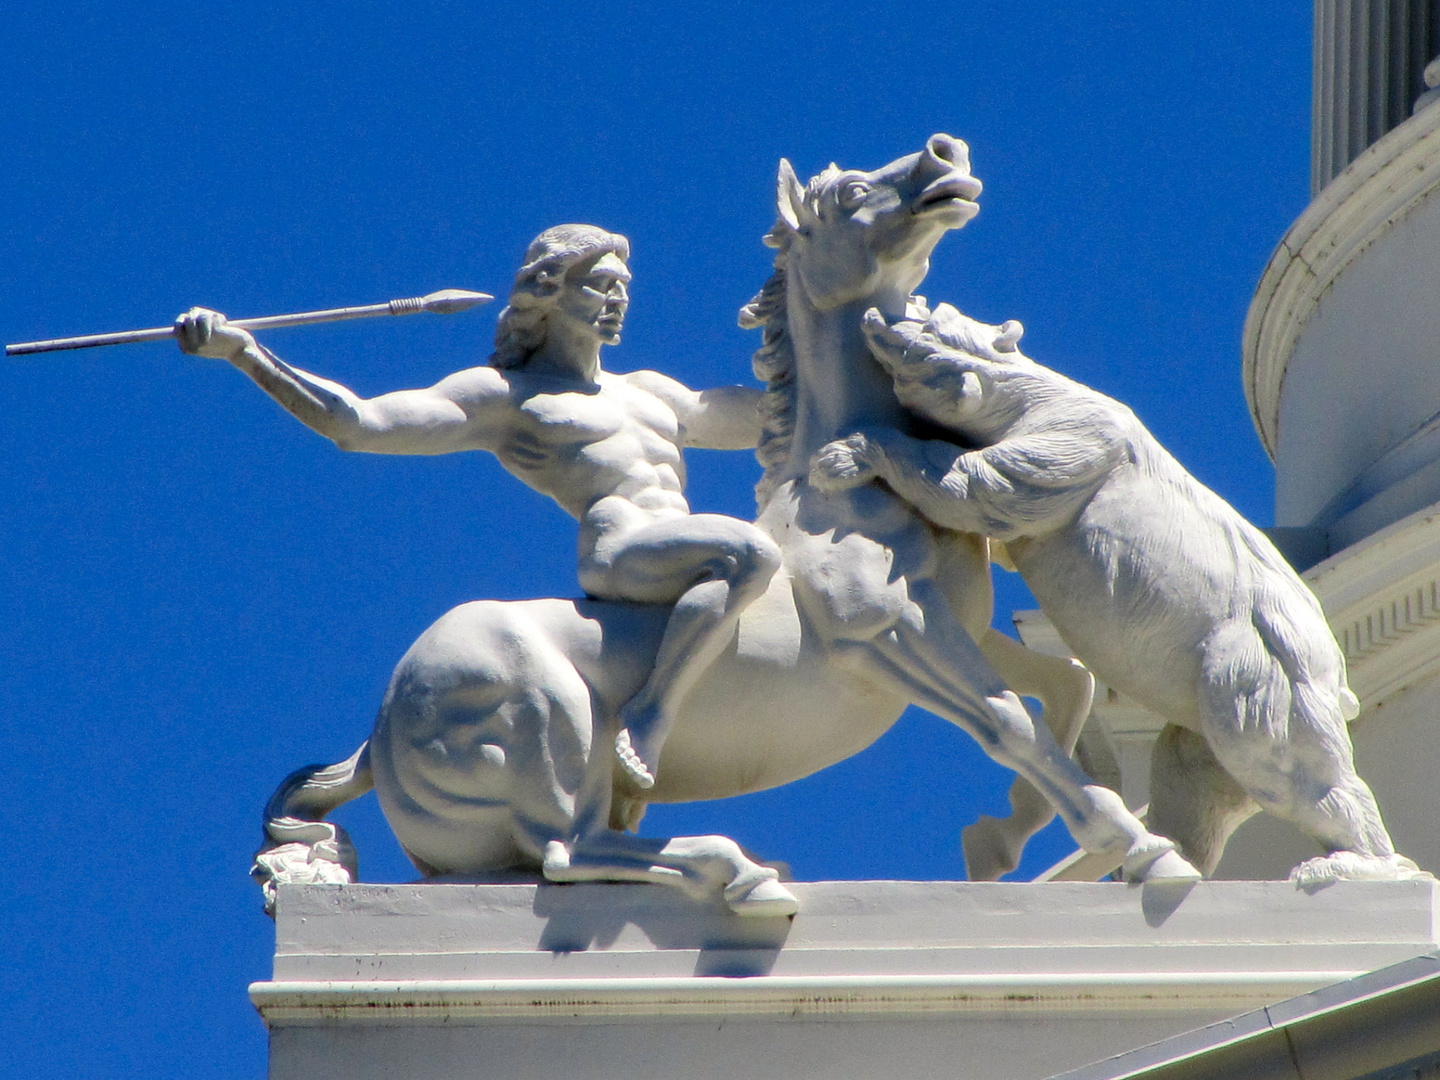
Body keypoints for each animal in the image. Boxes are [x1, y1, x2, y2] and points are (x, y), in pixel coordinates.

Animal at [256, 133, 1192, 915]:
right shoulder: (883, 635)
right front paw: (1143, 850)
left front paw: (1006, 838)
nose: (944, 154)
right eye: (850, 192)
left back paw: (743, 868)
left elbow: (1064, 687)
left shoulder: (956, 622)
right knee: (565, 853)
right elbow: (1008, 724)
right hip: (548, 730)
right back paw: (723, 854)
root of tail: (380, 730)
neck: (843, 493)